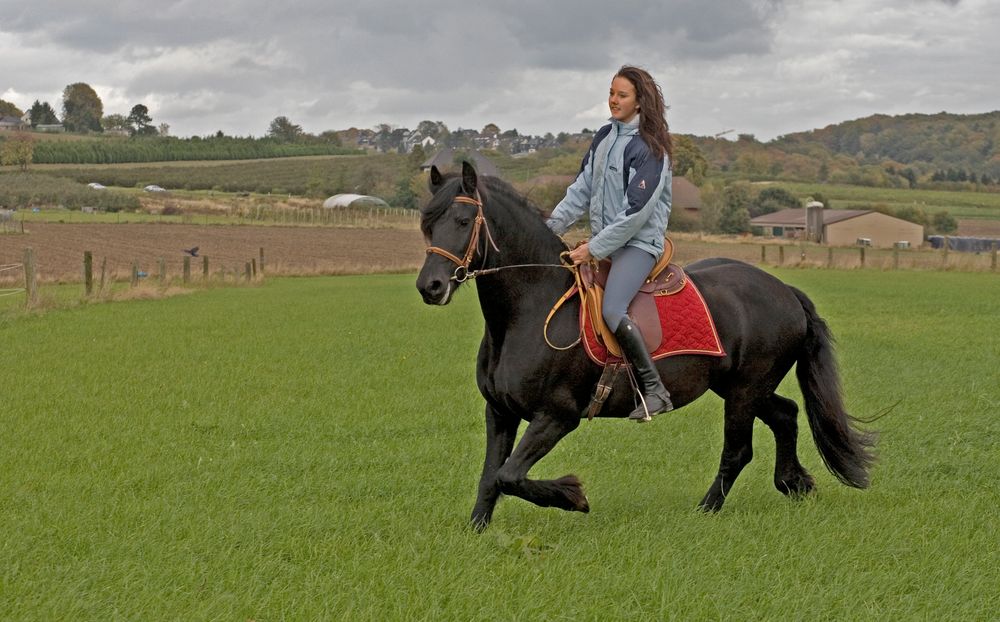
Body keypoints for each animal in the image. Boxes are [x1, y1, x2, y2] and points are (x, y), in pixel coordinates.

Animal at [416, 163, 876, 532]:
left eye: (463, 220)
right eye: (427, 223)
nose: (430, 287)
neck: (528, 309)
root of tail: (784, 290)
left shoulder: (557, 416)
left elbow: (508, 476)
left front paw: (573, 496)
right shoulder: (500, 412)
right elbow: (490, 475)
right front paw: (476, 530)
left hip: (746, 390)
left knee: (739, 450)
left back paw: (707, 509)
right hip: (739, 387)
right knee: (787, 414)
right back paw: (795, 483)